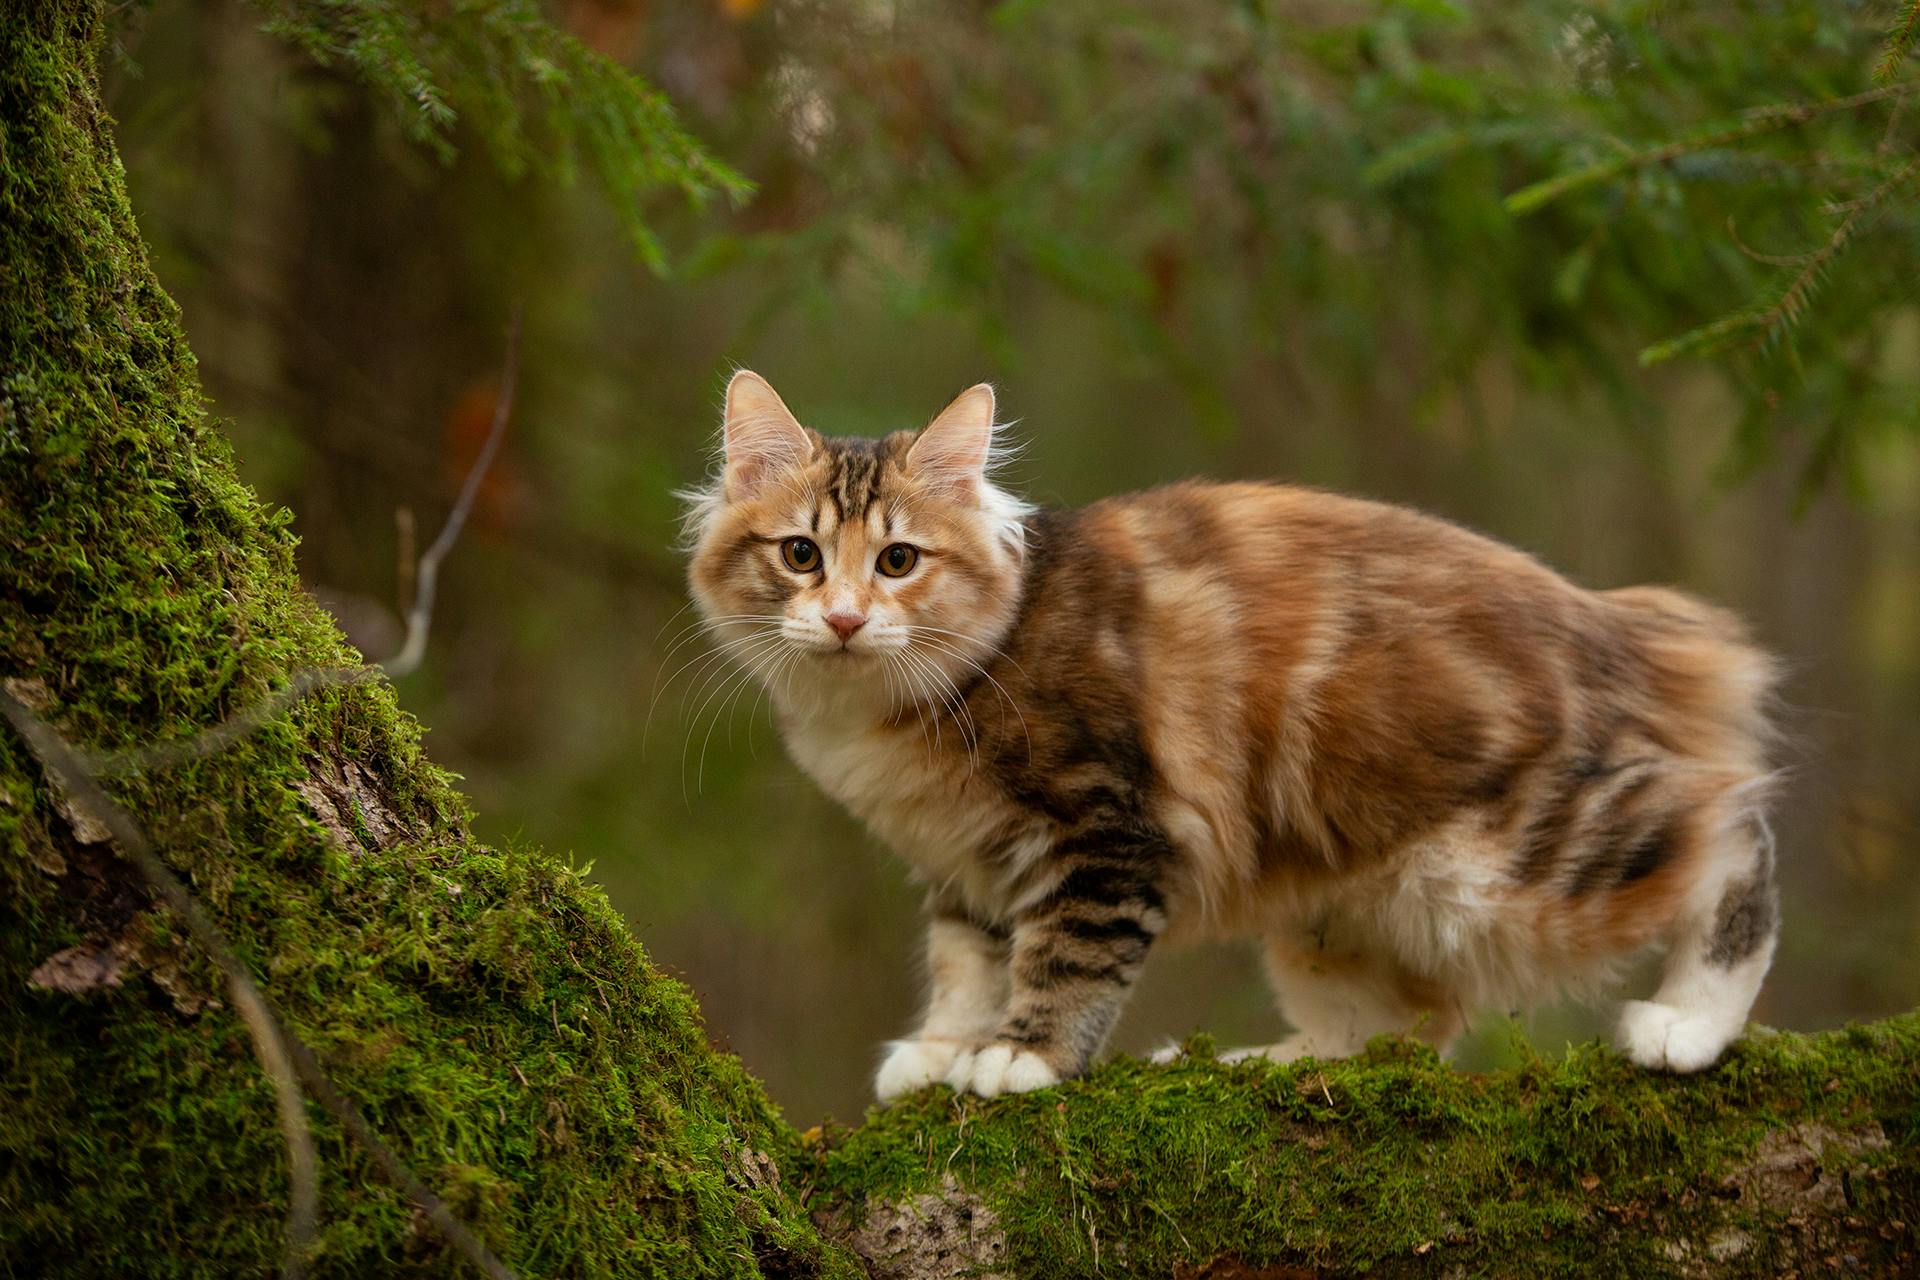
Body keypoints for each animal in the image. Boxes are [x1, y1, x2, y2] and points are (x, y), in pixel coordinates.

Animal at [679, 370, 1781, 1105]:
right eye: (801, 555)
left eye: (899, 560)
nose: (845, 619)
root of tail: (1614, 621)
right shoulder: (966, 862)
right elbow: (965, 963)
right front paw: (945, 1049)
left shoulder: (1105, 828)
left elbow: (1064, 955)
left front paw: (1023, 1055)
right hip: (1336, 910)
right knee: (1401, 1029)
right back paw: (1252, 1064)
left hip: (1509, 863)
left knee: (1733, 832)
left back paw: (1690, 1023)